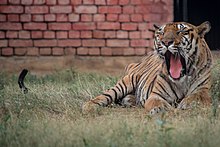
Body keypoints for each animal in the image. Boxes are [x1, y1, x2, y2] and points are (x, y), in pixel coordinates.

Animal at [81, 21, 212, 115]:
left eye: (181, 31)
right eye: (161, 33)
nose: (165, 42)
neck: (181, 79)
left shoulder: (203, 90)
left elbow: (197, 97)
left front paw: (188, 104)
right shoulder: (156, 95)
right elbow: (158, 103)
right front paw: (161, 109)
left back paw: (129, 100)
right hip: (126, 82)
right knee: (106, 95)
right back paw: (88, 107)